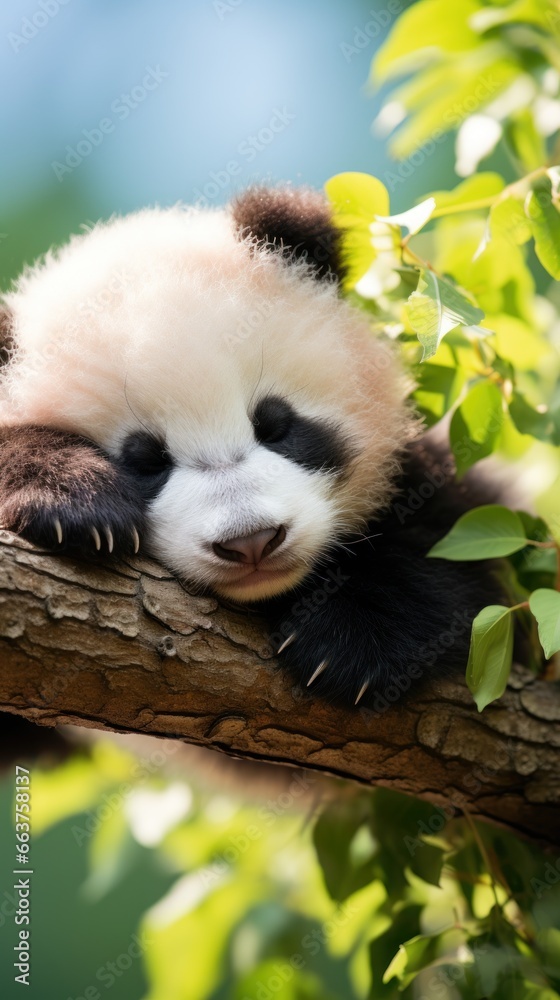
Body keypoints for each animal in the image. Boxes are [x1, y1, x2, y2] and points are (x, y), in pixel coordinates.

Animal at [0, 188, 500, 704]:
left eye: (274, 426)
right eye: (146, 461)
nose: (252, 542)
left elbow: (452, 551)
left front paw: (351, 638)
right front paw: (74, 502)